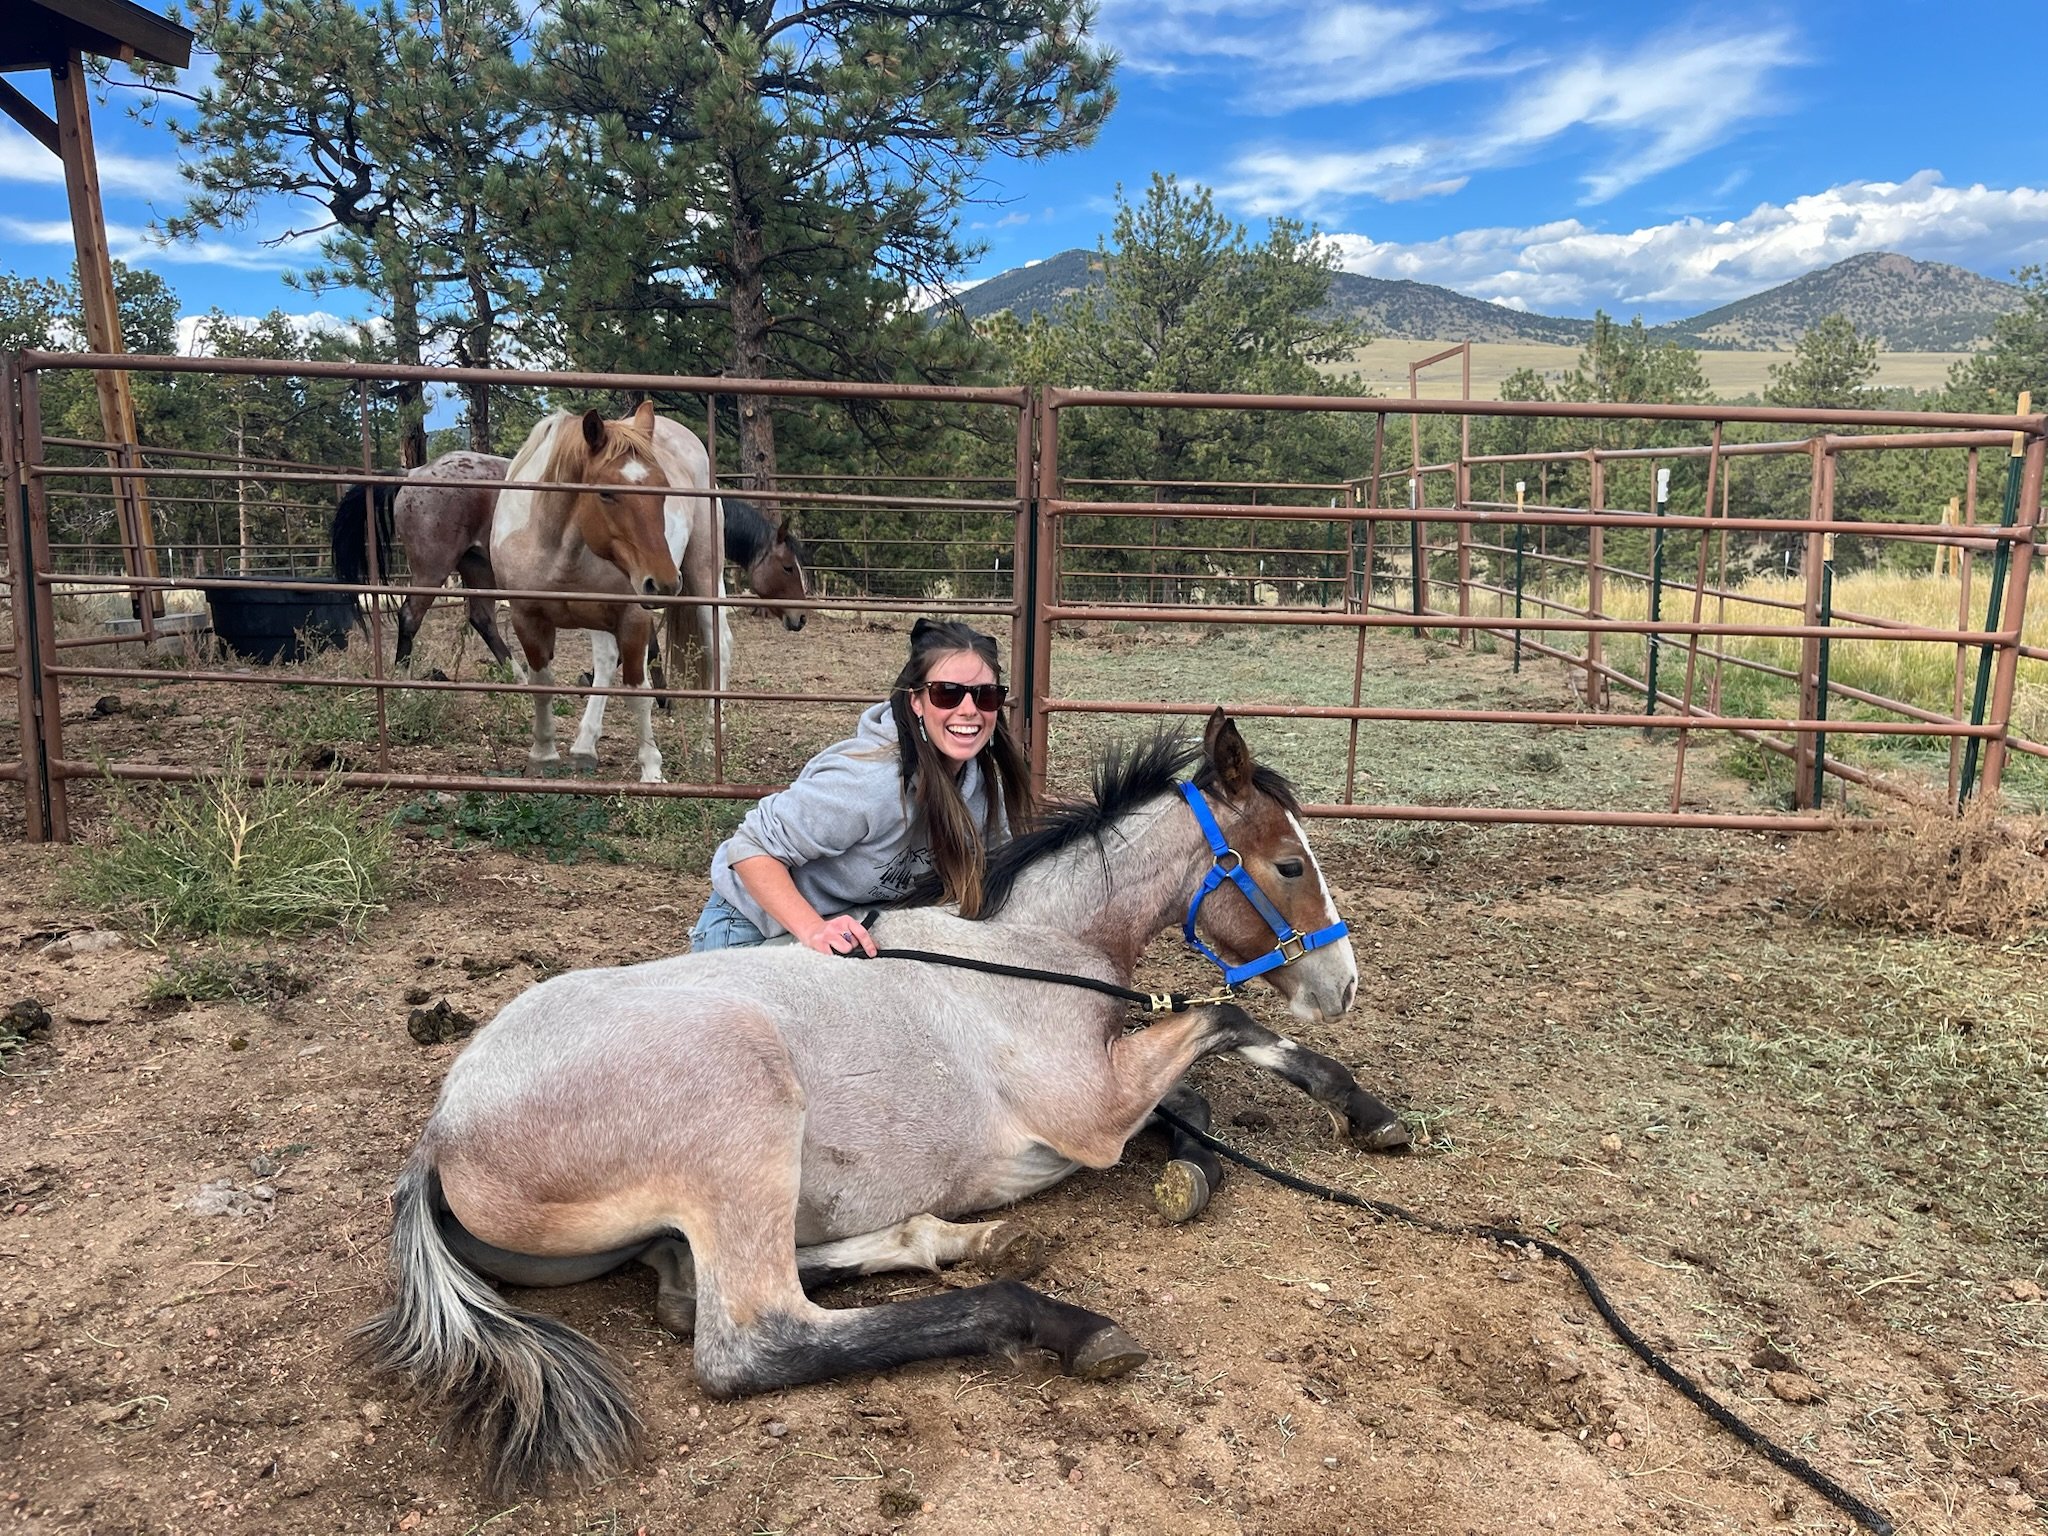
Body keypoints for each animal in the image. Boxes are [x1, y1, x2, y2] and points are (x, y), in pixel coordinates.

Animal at [330, 458, 810, 666]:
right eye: (788, 567)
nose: (801, 618)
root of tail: (414, 473)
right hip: (432, 568)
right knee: (410, 617)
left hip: (476, 566)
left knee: (482, 619)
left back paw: (518, 675)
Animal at [356, 710, 1410, 1495]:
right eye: (1287, 865)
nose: (1343, 986)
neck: (1027, 950)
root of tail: (443, 1133)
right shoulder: (1092, 1109)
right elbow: (1223, 1026)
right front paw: (1361, 1111)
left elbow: (1199, 1103)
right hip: (747, 1114)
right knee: (749, 1338)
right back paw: (1051, 1319)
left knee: (687, 1282)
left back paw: (966, 1239)